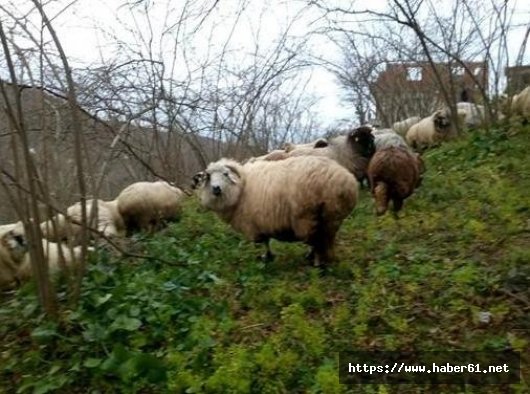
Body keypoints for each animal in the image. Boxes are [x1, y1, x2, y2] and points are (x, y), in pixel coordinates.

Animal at [196, 155, 356, 266]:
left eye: (225, 174)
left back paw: (316, 262)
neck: (241, 188)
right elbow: (266, 241)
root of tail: (347, 179)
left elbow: (264, 242)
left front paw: (266, 257)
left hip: (309, 217)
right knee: (323, 240)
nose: (216, 188)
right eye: (208, 176)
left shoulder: (255, 223)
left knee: (317, 240)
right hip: (331, 217)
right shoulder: (262, 222)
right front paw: (268, 256)